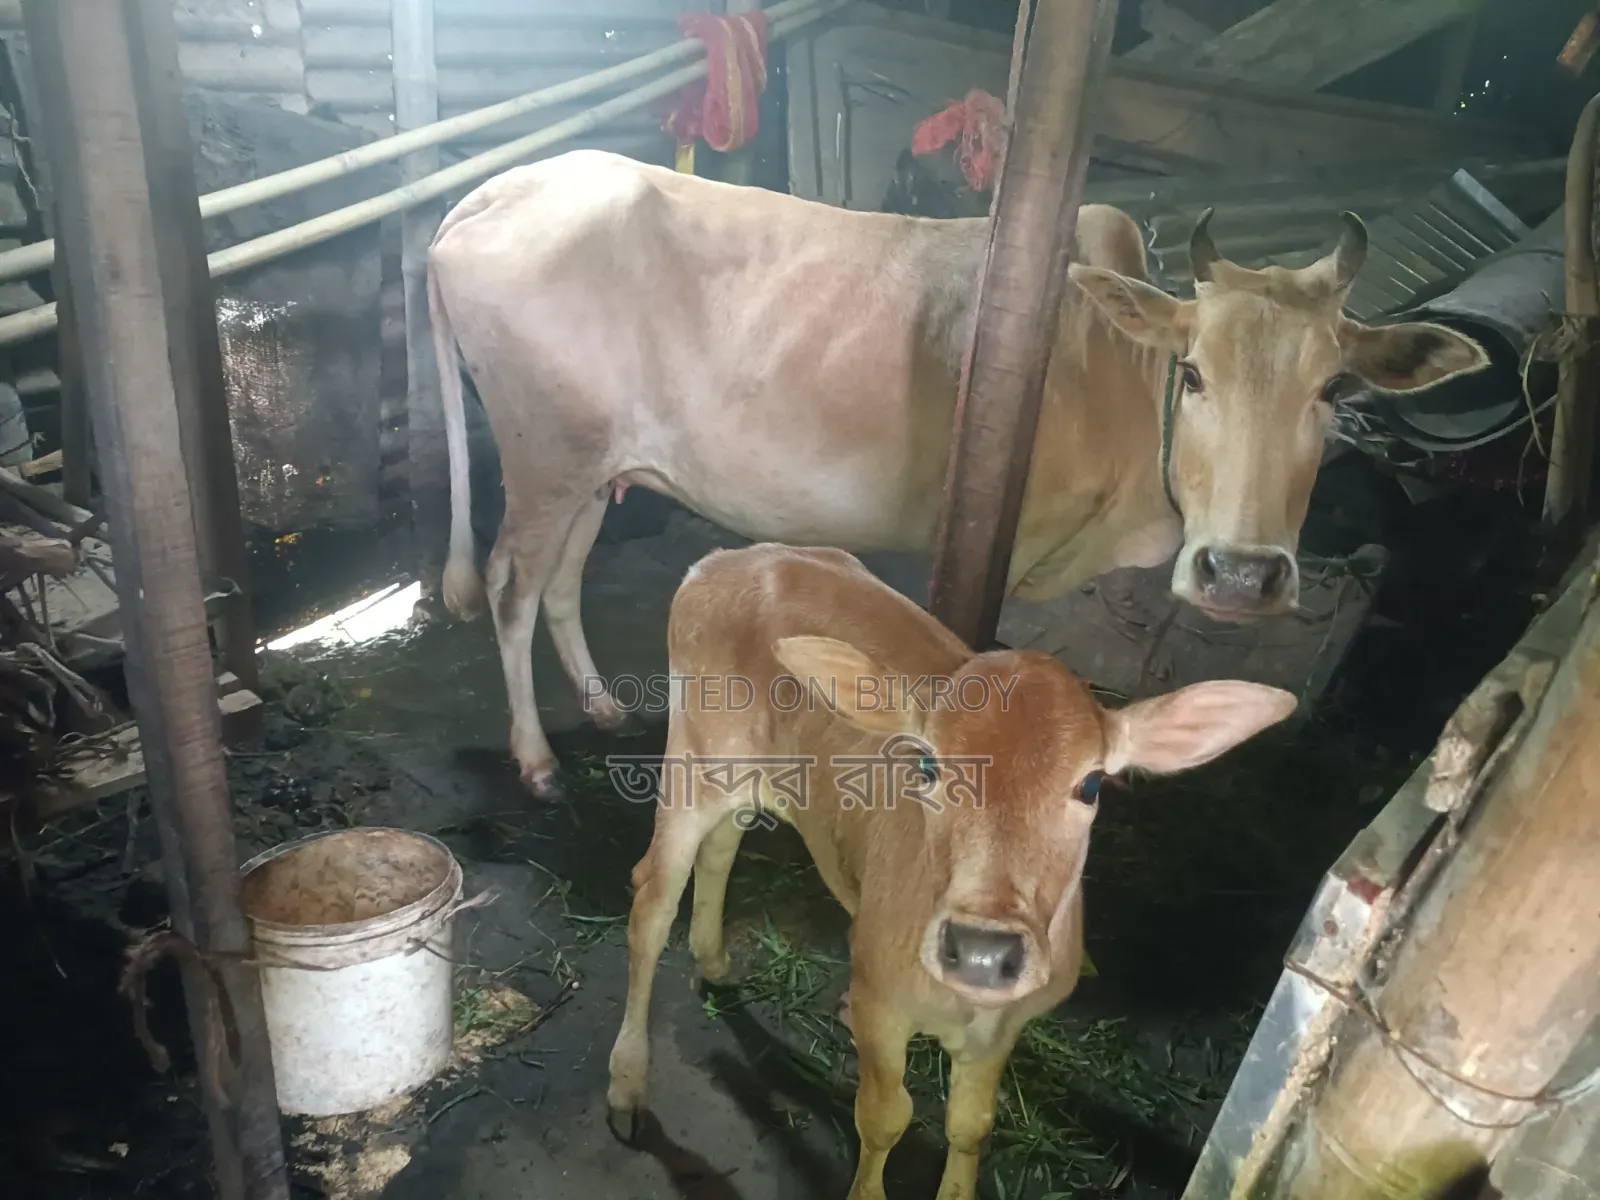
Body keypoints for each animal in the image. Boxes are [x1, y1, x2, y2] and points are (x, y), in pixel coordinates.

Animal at [427, 149, 1488, 796]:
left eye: (1332, 388)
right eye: (1194, 372)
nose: (1242, 573)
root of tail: (493, 193)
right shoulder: (995, 541)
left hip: (593, 464)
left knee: (562, 581)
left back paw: (603, 706)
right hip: (543, 454)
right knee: (513, 587)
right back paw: (534, 758)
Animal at [604, 542, 1298, 1200]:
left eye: (1093, 783)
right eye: (927, 766)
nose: (984, 951)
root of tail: (725, 562)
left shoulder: (1005, 1025)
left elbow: (971, 1126)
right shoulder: (877, 997)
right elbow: (885, 1115)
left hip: (750, 776)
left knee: (721, 849)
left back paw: (715, 961)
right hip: (694, 758)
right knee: (651, 902)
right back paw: (627, 1090)